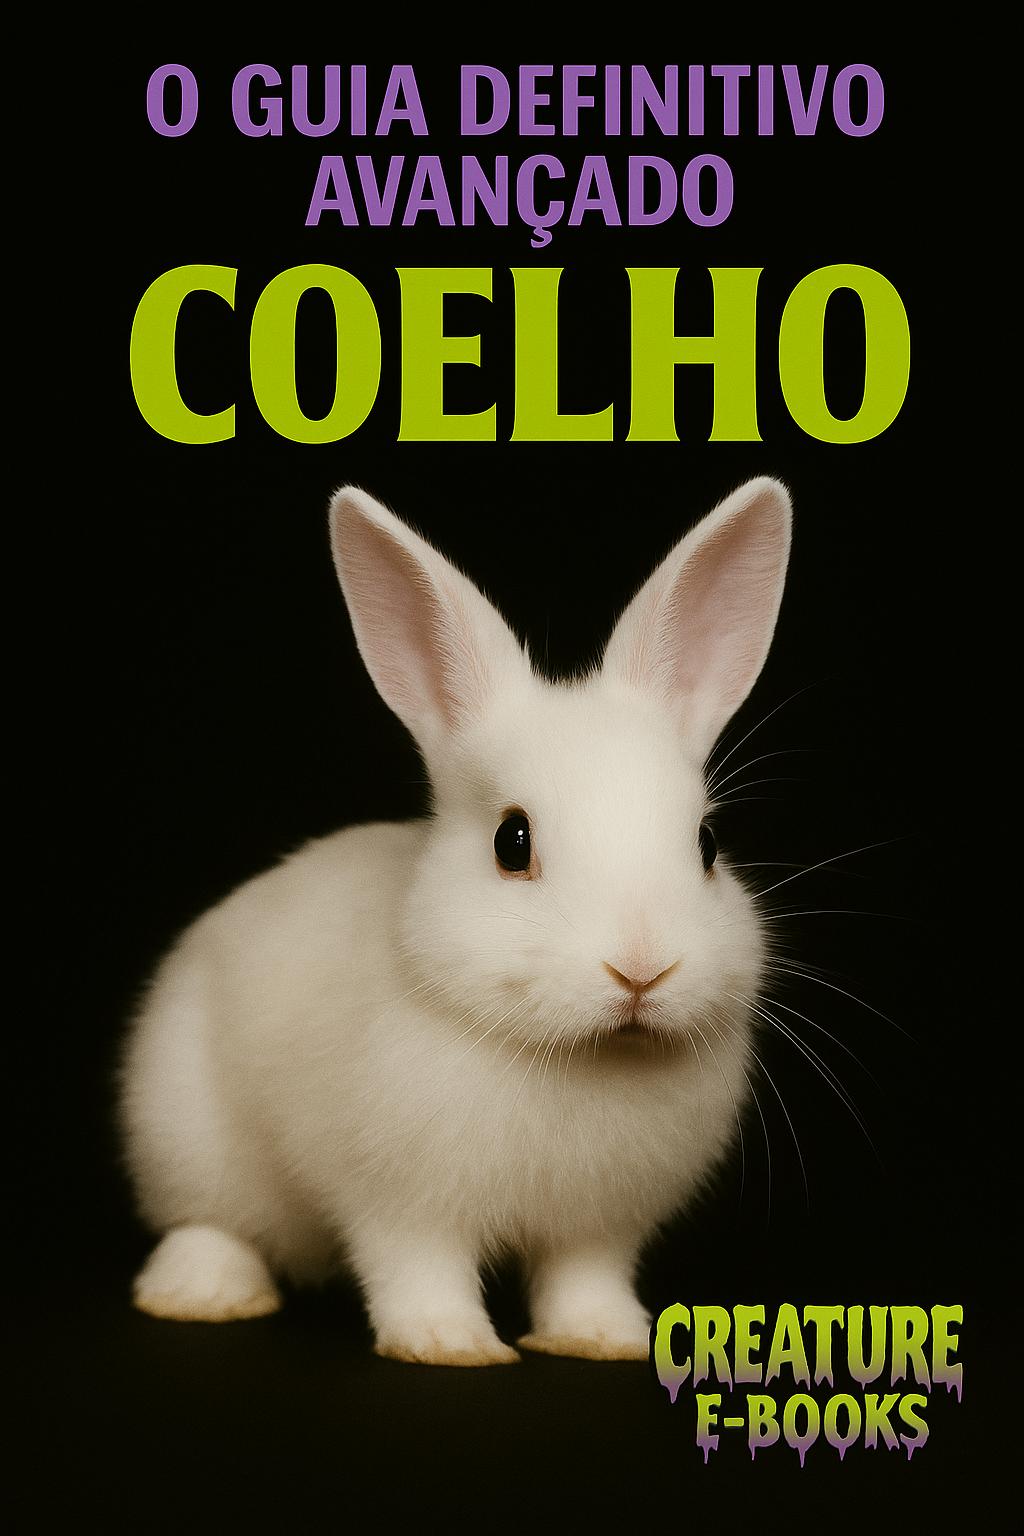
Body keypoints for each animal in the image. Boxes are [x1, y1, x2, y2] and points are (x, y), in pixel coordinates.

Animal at [120, 475, 792, 1366]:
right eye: (513, 842)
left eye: (707, 845)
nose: (641, 969)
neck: (581, 1055)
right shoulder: (402, 1205)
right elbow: (418, 1270)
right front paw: (448, 1345)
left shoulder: (597, 1229)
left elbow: (584, 1278)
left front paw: (602, 1340)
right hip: (190, 1139)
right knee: (209, 1224)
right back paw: (207, 1297)